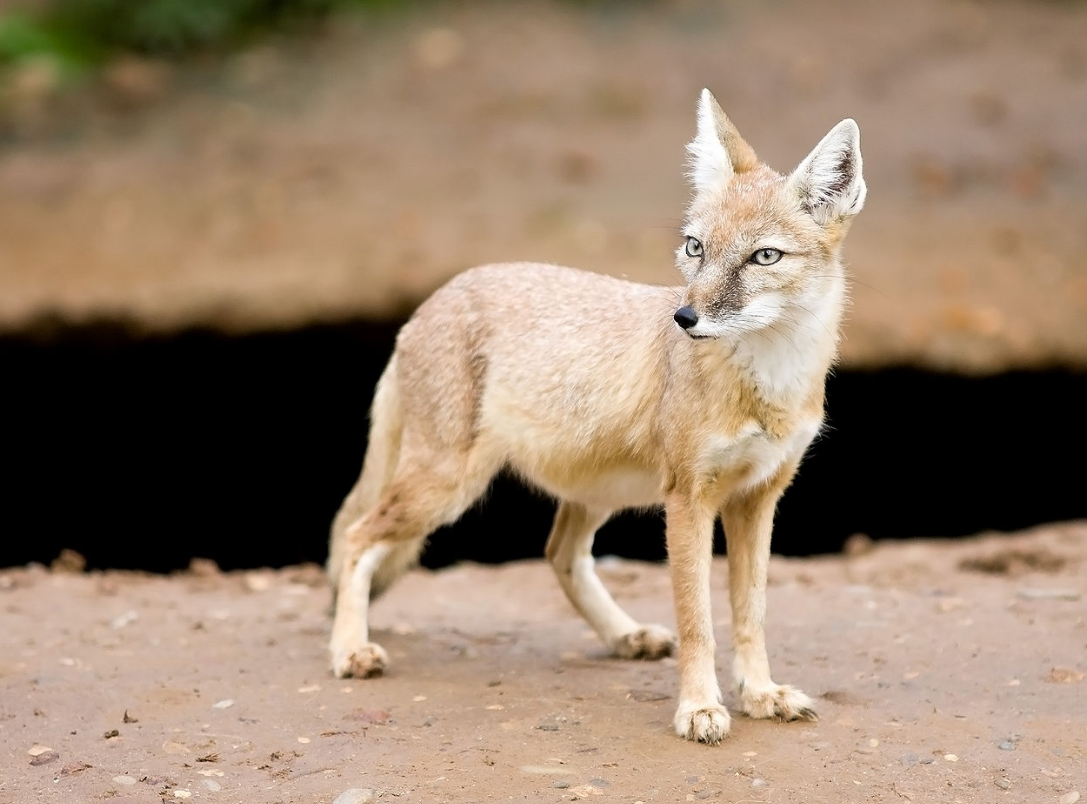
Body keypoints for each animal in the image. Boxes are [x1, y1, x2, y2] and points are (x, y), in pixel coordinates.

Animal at [326, 86, 860, 743]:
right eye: (696, 248)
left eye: (764, 257)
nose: (684, 318)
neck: (768, 386)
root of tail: (430, 301)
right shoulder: (689, 499)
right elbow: (698, 621)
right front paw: (699, 707)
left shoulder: (759, 498)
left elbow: (750, 614)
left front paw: (759, 694)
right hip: (445, 489)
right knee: (355, 537)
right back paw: (349, 649)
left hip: (594, 493)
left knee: (560, 554)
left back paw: (624, 635)